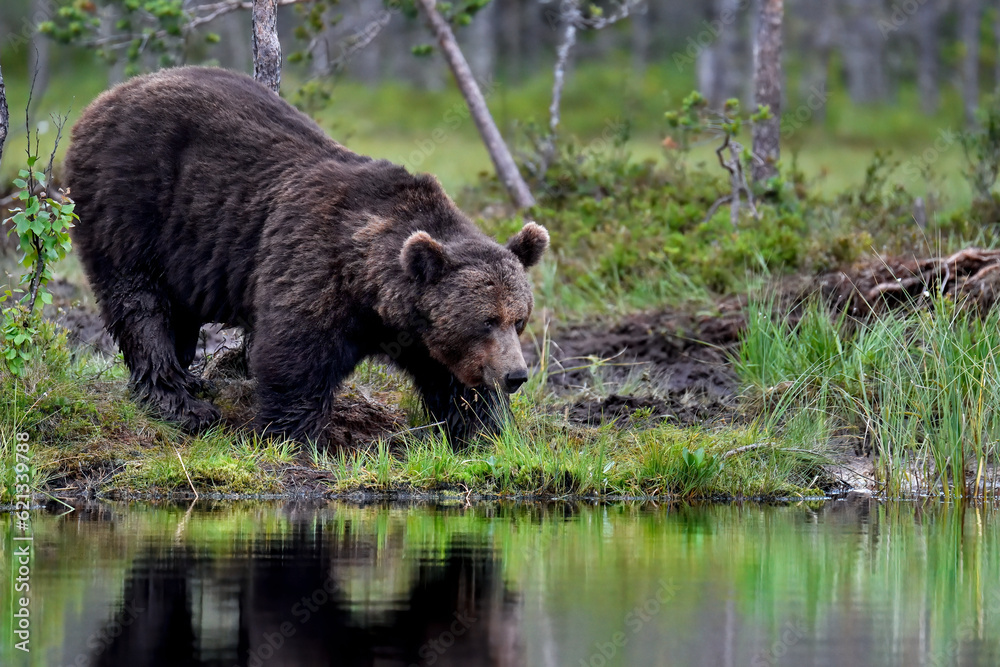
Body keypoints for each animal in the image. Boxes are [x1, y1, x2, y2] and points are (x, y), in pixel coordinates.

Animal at [64, 65, 548, 446]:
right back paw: (181, 403)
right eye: (486, 320)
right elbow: (295, 357)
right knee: (141, 302)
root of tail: (106, 96)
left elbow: (456, 383)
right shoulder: (315, 265)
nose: (517, 375)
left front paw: (485, 430)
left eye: (519, 320)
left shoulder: (424, 332)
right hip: (133, 204)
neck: (372, 292)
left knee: (177, 313)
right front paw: (291, 437)